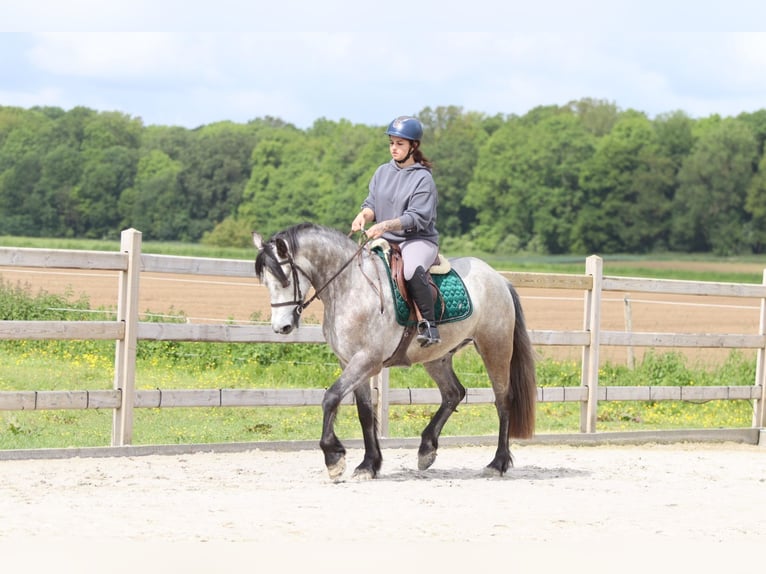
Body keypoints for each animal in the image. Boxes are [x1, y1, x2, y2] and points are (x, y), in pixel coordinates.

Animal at [253, 222, 536, 480]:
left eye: (285, 279)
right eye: (265, 281)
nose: (281, 327)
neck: (351, 287)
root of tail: (499, 279)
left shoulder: (367, 360)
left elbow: (331, 398)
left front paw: (334, 458)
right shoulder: (349, 362)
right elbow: (365, 412)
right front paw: (369, 464)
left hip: (494, 347)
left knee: (503, 399)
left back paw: (497, 463)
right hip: (438, 358)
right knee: (453, 393)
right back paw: (426, 450)